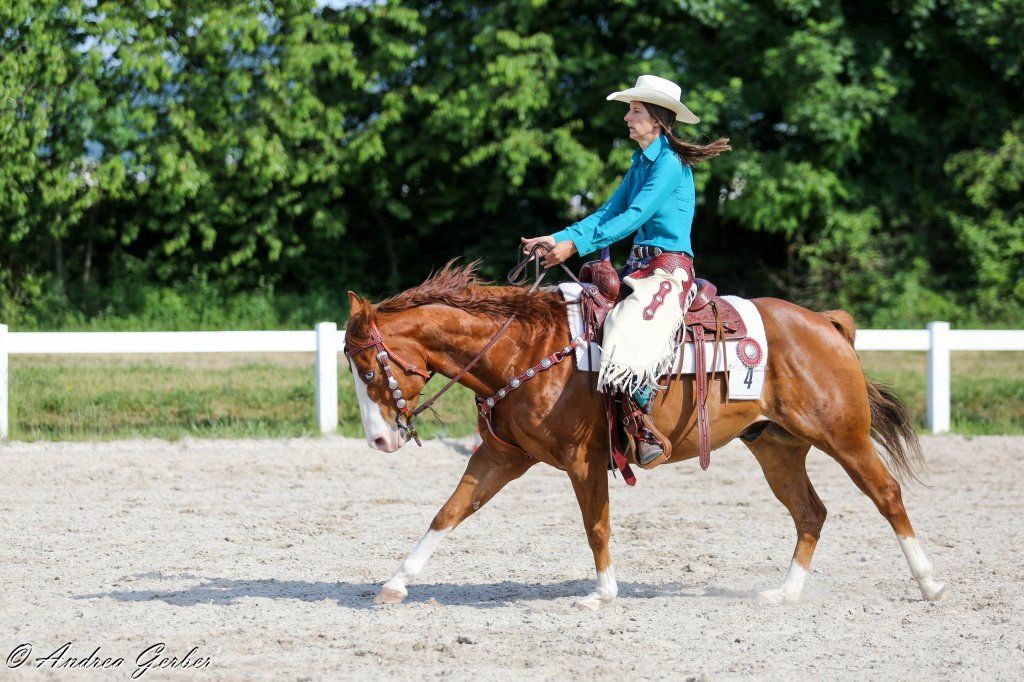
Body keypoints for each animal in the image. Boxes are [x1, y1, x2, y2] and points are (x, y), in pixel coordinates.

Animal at [343, 261, 947, 610]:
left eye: (369, 371)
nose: (379, 442)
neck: (526, 348)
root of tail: (826, 324)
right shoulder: (500, 457)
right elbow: (449, 512)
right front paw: (396, 583)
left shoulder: (583, 461)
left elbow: (597, 526)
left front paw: (603, 593)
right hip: (777, 447)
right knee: (810, 512)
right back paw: (785, 592)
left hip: (844, 437)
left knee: (887, 495)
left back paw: (929, 584)